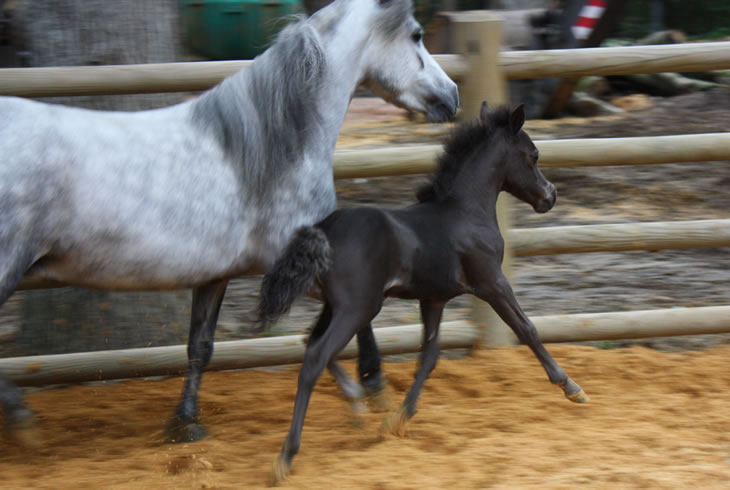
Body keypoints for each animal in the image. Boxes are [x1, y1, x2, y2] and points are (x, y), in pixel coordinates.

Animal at [0, 0, 456, 444]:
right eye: (416, 35)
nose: (451, 96)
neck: (273, 148)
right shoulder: (298, 263)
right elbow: (343, 324)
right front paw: (371, 389)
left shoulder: (216, 275)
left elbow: (201, 347)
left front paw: (186, 424)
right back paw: (22, 422)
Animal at [256, 103, 584, 482]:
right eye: (533, 155)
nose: (550, 195)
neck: (466, 212)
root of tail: (324, 229)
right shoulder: (492, 282)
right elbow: (526, 328)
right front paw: (571, 387)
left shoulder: (434, 299)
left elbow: (429, 357)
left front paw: (397, 420)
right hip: (358, 307)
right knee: (315, 357)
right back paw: (287, 455)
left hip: (336, 306)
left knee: (309, 341)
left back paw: (356, 404)